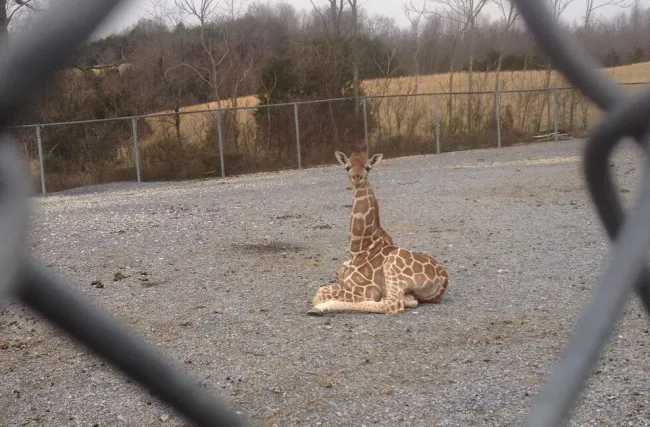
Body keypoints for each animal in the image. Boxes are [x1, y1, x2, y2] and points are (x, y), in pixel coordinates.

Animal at [308, 140, 449, 316]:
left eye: (368, 167)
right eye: (347, 167)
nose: (357, 177)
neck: (358, 249)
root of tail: (443, 278)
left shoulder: (366, 289)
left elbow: (318, 295)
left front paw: (321, 304)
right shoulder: (343, 282)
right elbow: (320, 290)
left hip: (393, 267)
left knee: (393, 304)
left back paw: (321, 308)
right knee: (408, 301)